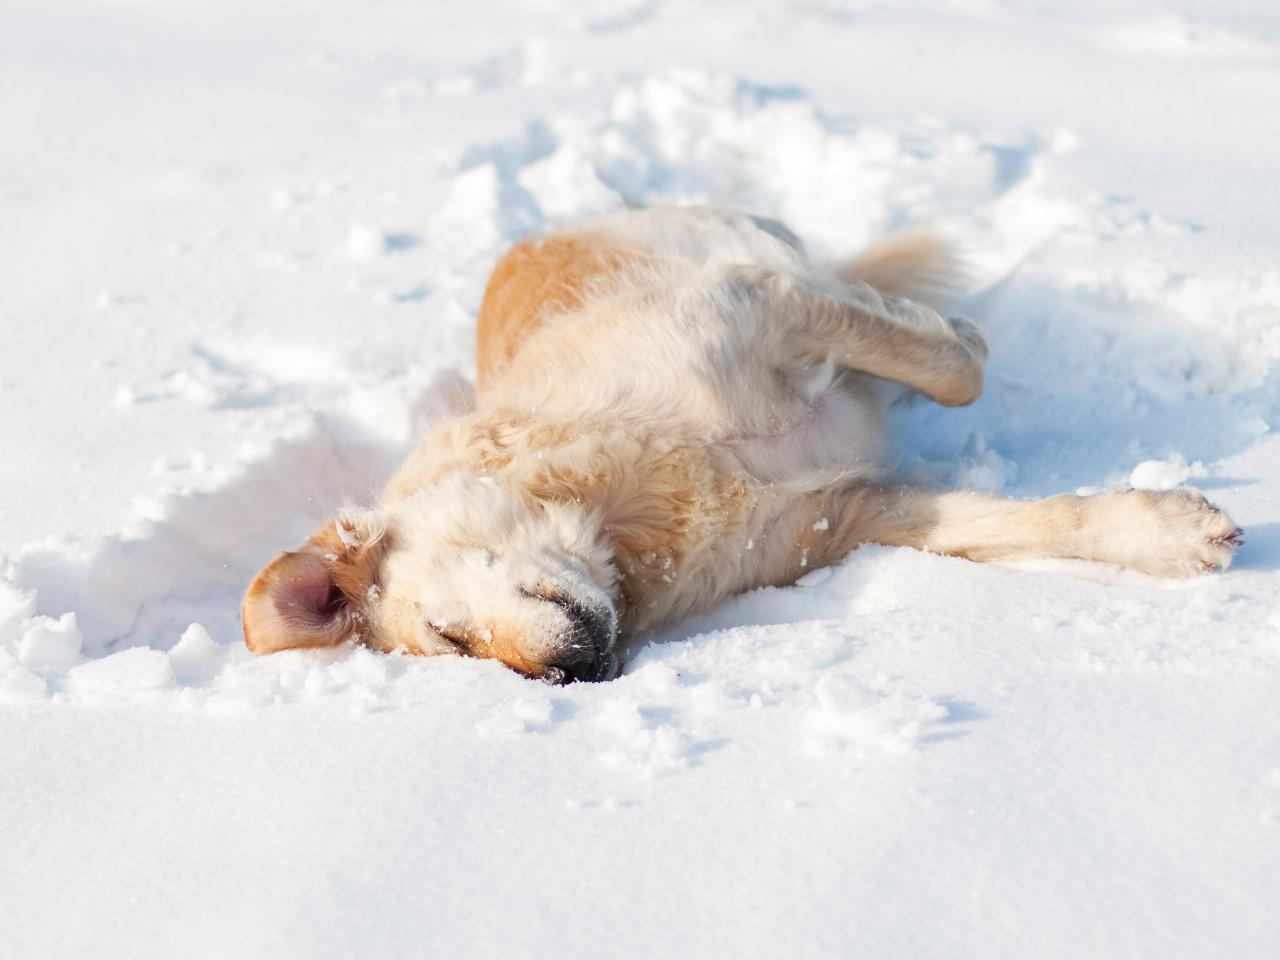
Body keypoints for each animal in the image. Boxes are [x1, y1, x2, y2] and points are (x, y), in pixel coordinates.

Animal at [240, 206, 1239, 686]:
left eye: (447, 635)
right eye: (463, 657)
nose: (567, 674)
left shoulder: (754, 300)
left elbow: (957, 368)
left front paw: (956, 335)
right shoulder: (853, 513)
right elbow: (1020, 524)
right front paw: (1167, 534)